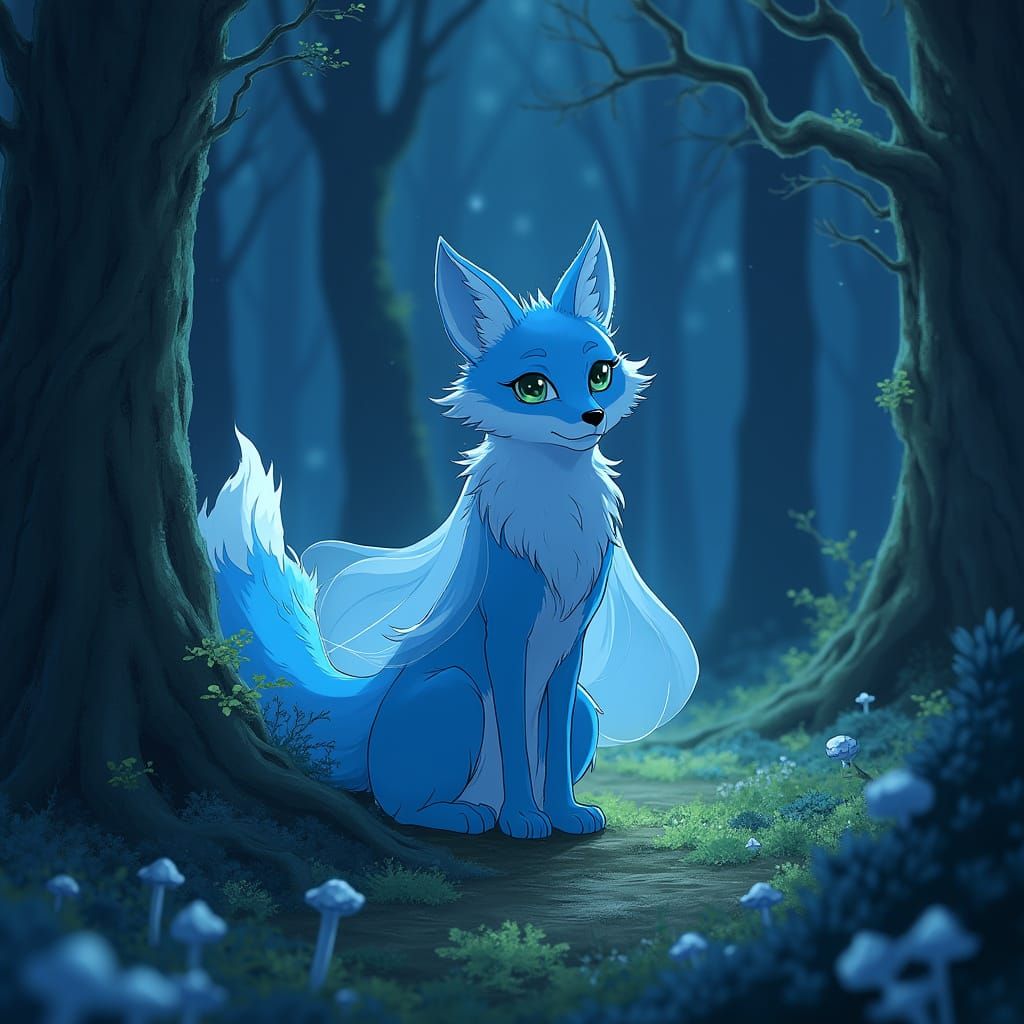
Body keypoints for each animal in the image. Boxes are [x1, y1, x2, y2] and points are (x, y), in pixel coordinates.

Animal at [198, 222, 699, 839]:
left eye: (599, 374)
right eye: (533, 387)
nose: (593, 417)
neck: (558, 522)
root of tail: (368, 719)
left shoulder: (571, 646)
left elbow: (552, 747)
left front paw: (564, 814)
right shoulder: (505, 634)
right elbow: (514, 734)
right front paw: (525, 819)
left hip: (583, 709)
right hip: (456, 691)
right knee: (395, 805)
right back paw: (471, 815)